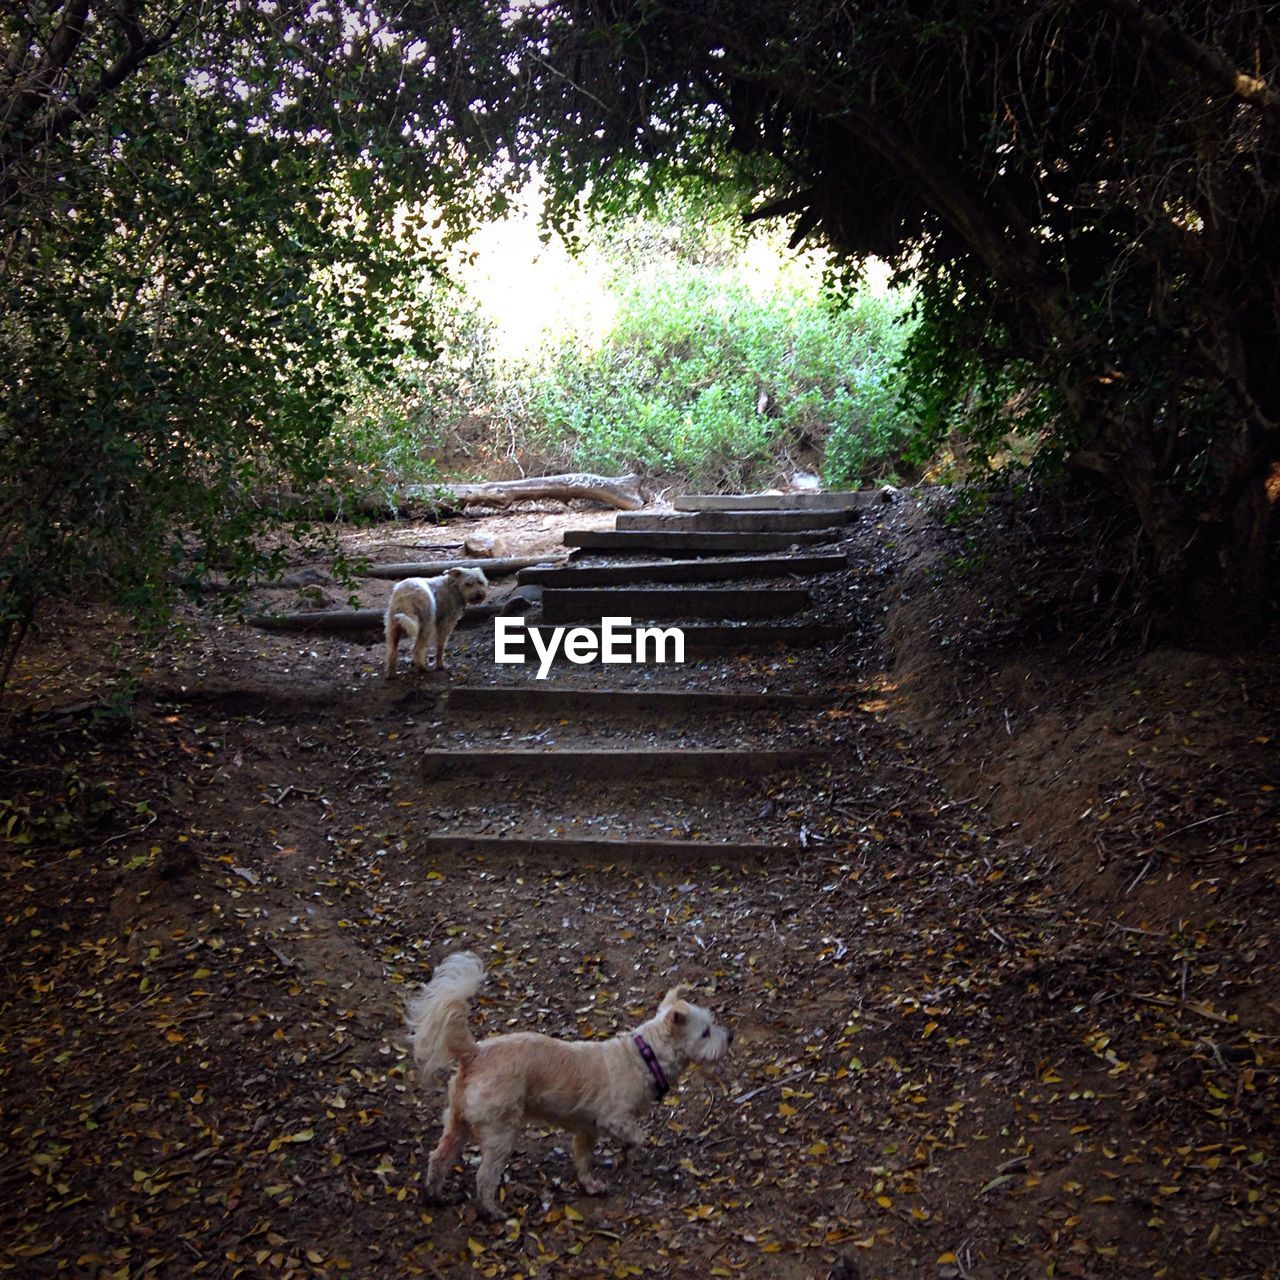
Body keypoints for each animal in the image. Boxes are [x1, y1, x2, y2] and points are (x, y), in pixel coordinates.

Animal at [404, 952, 737, 1218]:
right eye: (706, 1032)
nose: (730, 1037)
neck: (644, 1055)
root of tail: (475, 1053)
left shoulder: (586, 1130)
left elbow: (584, 1160)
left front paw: (591, 1184)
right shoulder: (613, 1118)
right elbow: (637, 1137)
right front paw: (626, 1154)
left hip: (458, 1122)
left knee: (439, 1157)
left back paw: (434, 1195)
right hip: (500, 1131)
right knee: (485, 1177)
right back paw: (492, 1212)